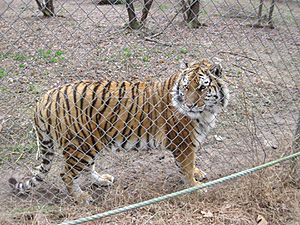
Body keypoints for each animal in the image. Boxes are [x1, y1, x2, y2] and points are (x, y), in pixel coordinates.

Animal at [9, 58, 230, 204]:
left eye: (201, 88)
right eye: (186, 87)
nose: (190, 105)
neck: (207, 111)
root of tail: (44, 97)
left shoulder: (189, 143)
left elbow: (191, 165)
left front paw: (197, 173)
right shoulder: (183, 143)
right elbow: (186, 167)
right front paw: (195, 187)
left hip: (89, 142)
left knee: (87, 168)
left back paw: (102, 180)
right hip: (79, 145)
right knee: (66, 174)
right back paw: (81, 197)